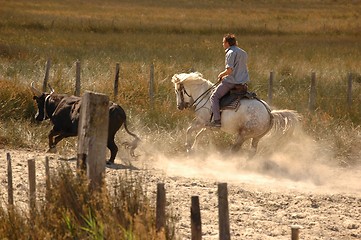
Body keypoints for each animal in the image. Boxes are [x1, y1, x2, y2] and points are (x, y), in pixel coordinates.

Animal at [172, 72, 300, 157]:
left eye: (177, 91)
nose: (179, 106)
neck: (205, 97)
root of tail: (269, 113)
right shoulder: (209, 125)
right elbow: (199, 135)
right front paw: (193, 148)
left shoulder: (201, 122)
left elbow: (189, 130)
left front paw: (188, 148)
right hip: (256, 137)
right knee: (251, 151)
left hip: (243, 135)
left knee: (235, 149)